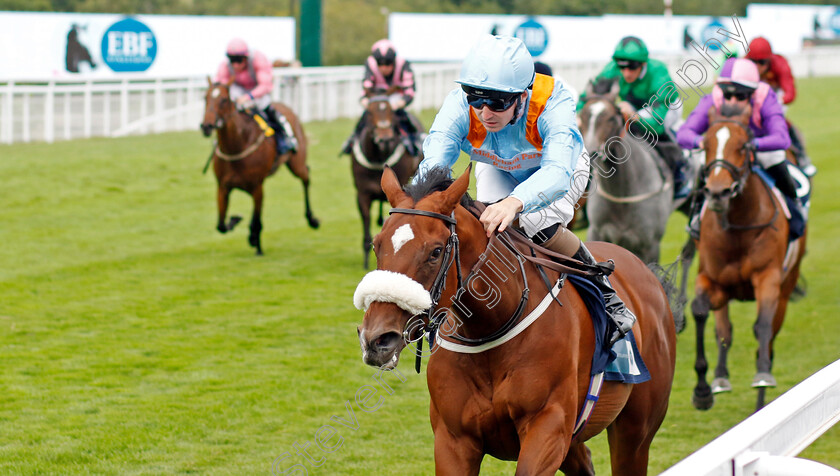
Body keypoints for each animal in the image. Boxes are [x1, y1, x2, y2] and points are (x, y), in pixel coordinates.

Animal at [202, 79, 320, 256]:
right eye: (205, 98)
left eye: (223, 100)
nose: (206, 126)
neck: (236, 146)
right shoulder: (223, 187)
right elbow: (221, 225)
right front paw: (236, 220)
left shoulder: (257, 186)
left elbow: (257, 220)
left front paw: (257, 247)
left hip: (296, 163)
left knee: (306, 177)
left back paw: (312, 219)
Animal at [352, 95, 424, 270]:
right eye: (370, 113)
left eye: (392, 113)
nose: (384, 139)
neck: (379, 159)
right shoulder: (362, 194)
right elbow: (366, 220)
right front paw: (366, 262)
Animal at [352, 165, 676, 474]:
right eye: (376, 245)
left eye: (435, 251)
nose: (376, 340)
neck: (489, 331)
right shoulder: (453, 440)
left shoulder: (548, 428)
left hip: (635, 431)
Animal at [580, 78, 692, 264]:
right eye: (582, 117)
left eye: (611, 118)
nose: (591, 154)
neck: (622, 193)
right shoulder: (597, 233)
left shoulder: (650, 245)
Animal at [688, 106, 808, 410]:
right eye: (705, 144)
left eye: (743, 146)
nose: (717, 192)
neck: (738, 227)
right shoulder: (712, 280)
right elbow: (701, 312)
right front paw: (703, 389)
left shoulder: (769, 278)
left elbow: (762, 325)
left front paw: (763, 376)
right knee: (724, 330)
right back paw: (720, 378)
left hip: (786, 288)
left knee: (770, 337)